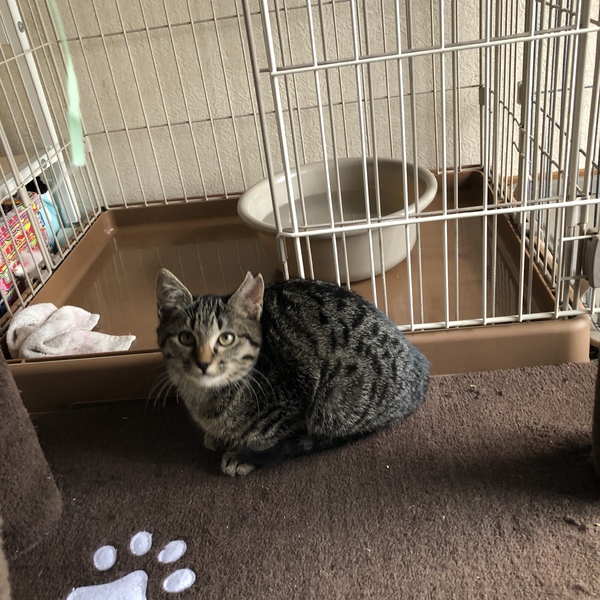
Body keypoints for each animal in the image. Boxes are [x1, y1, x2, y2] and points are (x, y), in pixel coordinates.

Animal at [155, 268, 430, 476]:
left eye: (226, 338)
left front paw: (243, 455)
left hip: (334, 401)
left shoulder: (294, 400)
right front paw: (219, 436)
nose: (203, 362)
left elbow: (264, 435)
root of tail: (422, 367)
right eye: (185, 338)